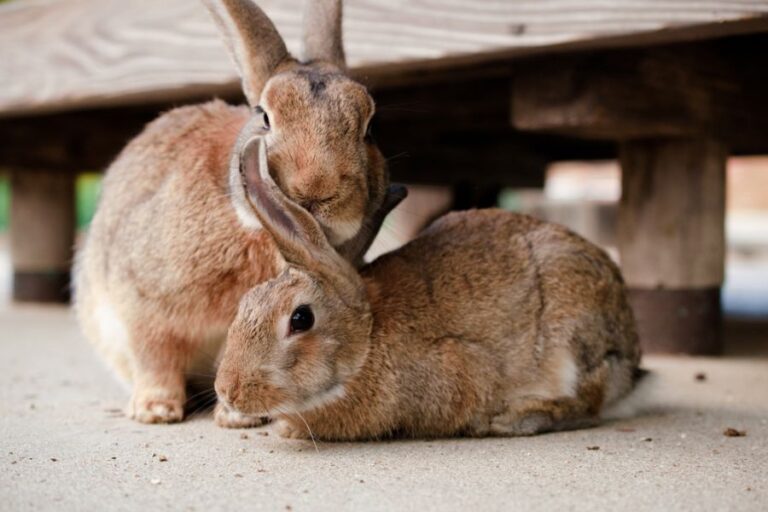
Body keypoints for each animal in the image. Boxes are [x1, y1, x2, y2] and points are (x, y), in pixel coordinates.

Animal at [73, 0, 401, 426]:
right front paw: (155, 410)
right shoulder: (143, 301)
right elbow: (155, 356)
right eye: (264, 116)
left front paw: (236, 418)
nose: (315, 190)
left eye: (369, 128)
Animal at [213, 137, 643, 440]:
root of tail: (629, 347)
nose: (227, 391)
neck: (368, 338)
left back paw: (513, 419)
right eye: (246, 303)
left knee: (587, 405)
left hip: (571, 337)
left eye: (301, 319)